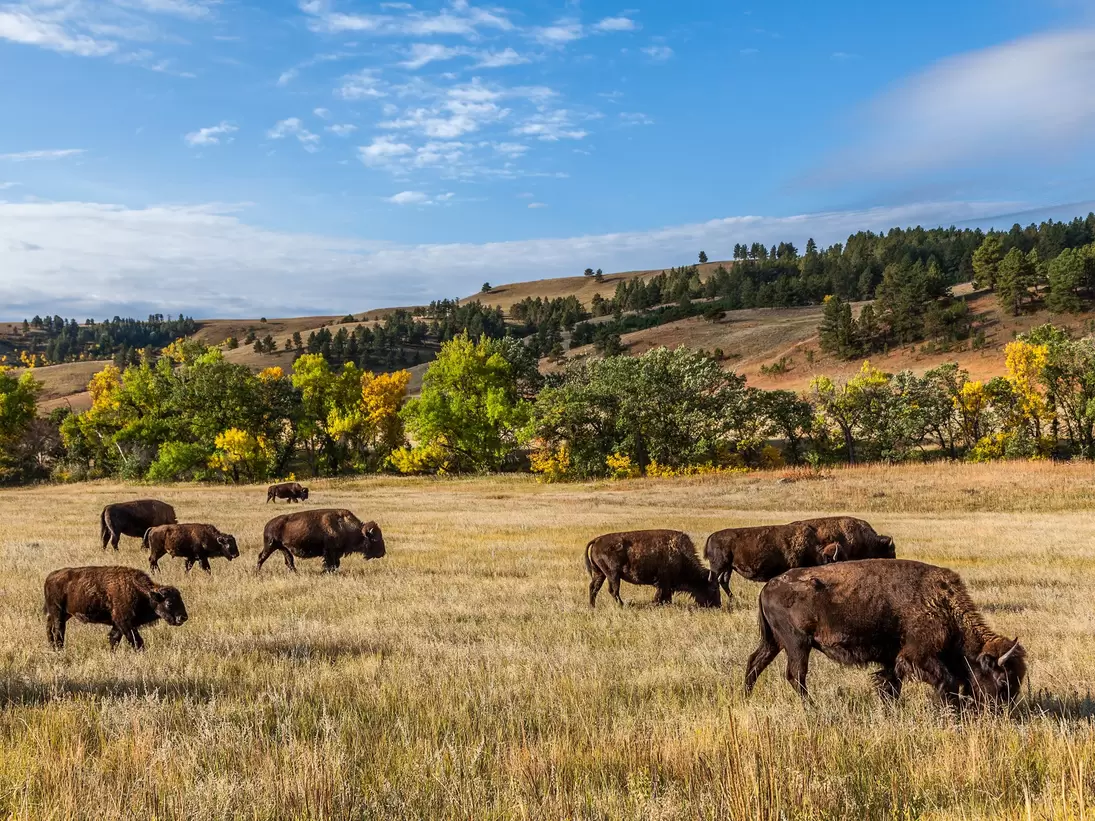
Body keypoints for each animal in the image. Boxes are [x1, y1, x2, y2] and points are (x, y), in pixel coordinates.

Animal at [44, 566, 188, 650]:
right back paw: (59, 649)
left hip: (63, 614)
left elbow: (114, 638)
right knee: (58, 630)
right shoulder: (125, 622)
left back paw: (53, 648)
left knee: (50, 628)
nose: (183, 617)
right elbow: (136, 641)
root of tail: (51, 576)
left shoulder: (118, 624)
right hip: (58, 612)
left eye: (181, 600)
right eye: (169, 602)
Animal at [585, 529, 720, 608]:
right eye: (714, 588)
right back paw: (622, 605)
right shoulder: (664, 582)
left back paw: (592, 607)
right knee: (613, 591)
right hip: (613, 575)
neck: (680, 554)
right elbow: (661, 595)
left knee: (594, 588)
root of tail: (597, 540)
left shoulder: (666, 584)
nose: (718, 605)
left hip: (600, 573)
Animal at [744, 559, 1026, 707]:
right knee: (796, 675)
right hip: (797, 644)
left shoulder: (892, 660)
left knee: (755, 662)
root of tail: (768, 586)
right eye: (1003, 681)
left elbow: (890, 684)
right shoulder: (917, 656)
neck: (941, 604)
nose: (1002, 712)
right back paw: (812, 706)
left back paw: (745, 696)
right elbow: (946, 680)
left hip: (775, 642)